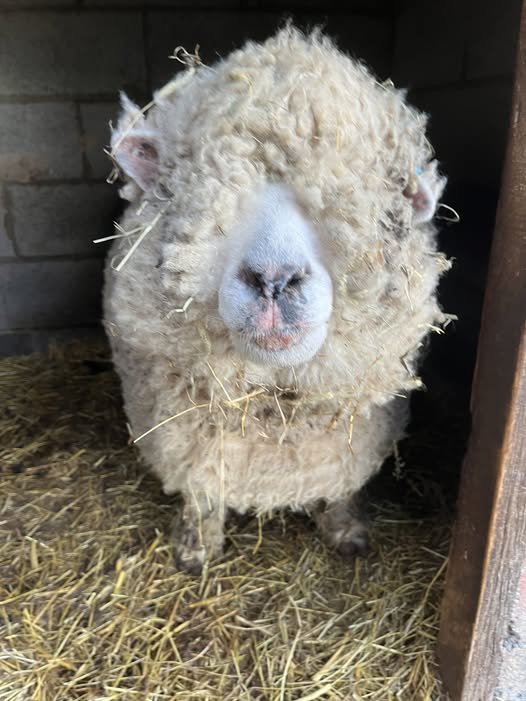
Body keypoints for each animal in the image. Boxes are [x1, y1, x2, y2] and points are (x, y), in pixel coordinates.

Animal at [103, 27, 451, 574]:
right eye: (200, 189)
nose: (272, 279)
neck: (272, 405)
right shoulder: (186, 443)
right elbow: (201, 490)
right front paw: (196, 547)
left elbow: (341, 487)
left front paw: (346, 531)